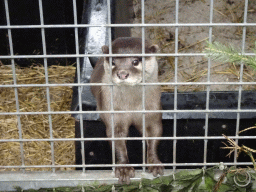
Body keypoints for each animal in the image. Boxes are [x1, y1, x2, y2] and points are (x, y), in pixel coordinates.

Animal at [90, 37, 162, 183]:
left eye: (135, 61)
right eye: (113, 62)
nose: (122, 73)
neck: (132, 106)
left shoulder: (152, 111)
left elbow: (154, 133)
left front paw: (154, 163)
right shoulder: (114, 113)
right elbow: (117, 139)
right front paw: (124, 168)